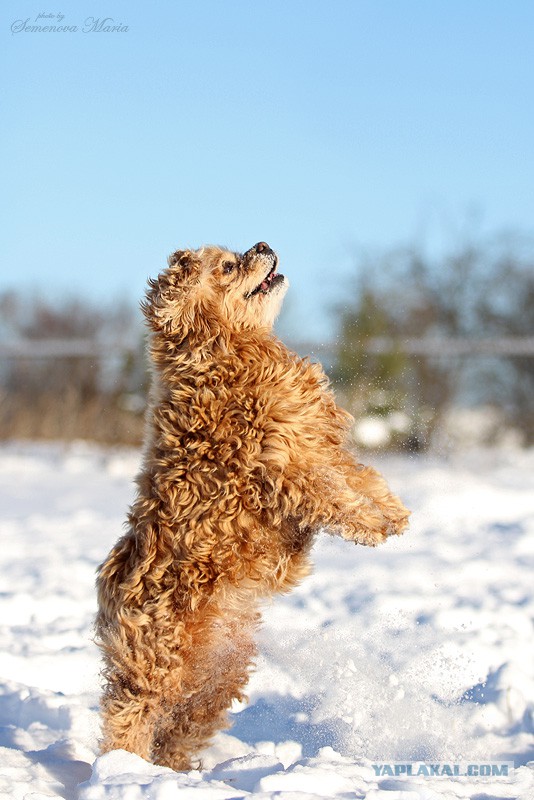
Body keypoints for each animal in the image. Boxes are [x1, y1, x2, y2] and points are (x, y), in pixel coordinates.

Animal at [95, 242, 410, 768]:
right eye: (227, 265)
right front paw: (371, 524)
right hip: (159, 666)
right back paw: (121, 769)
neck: (228, 351)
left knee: (176, 731)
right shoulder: (282, 464)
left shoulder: (319, 445)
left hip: (217, 679)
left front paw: (393, 513)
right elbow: (333, 496)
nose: (262, 245)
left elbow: (359, 476)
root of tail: (109, 600)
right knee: (130, 718)